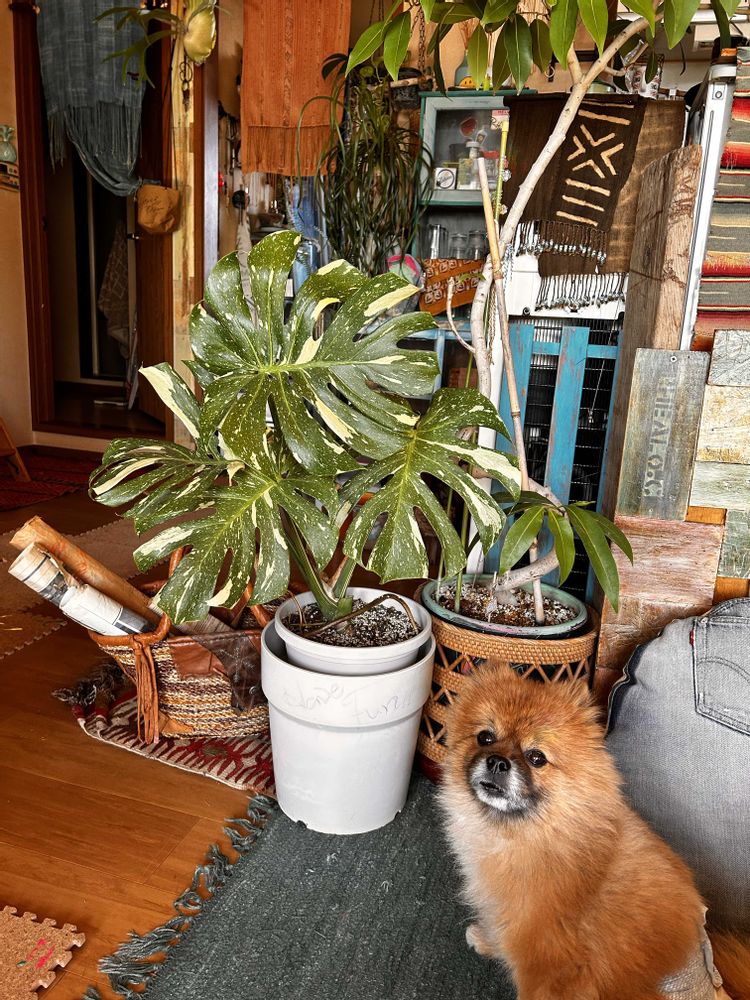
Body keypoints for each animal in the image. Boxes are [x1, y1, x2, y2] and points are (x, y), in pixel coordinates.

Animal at [438, 664, 750, 1000]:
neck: (536, 835)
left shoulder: (552, 972)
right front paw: (489, 939)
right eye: (484, 737)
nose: (497, 762)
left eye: (536, 758)